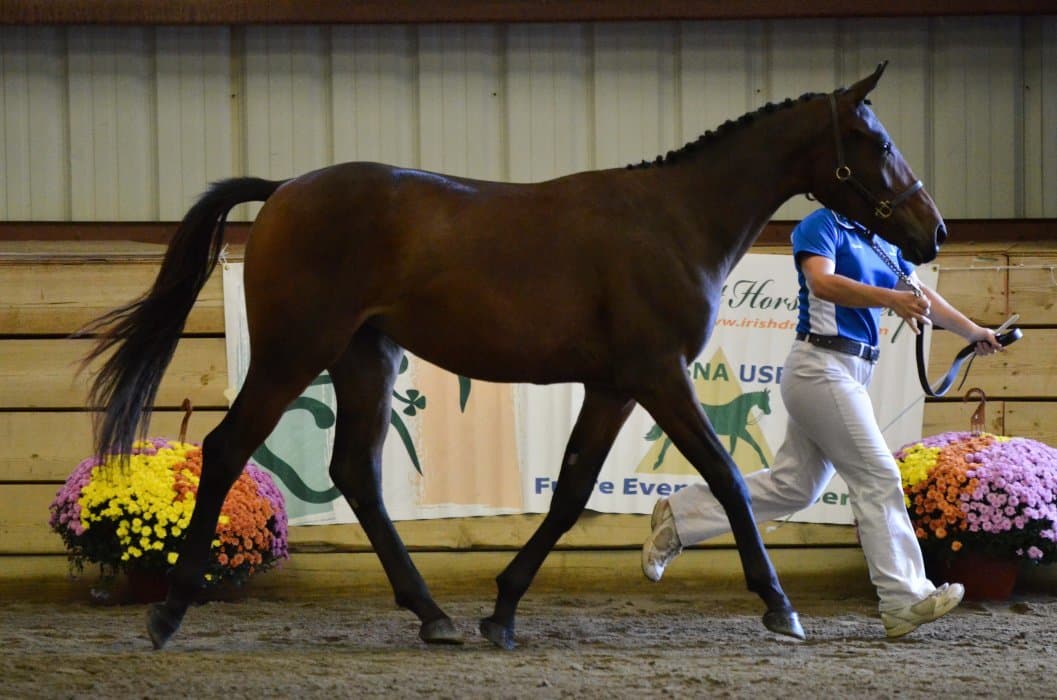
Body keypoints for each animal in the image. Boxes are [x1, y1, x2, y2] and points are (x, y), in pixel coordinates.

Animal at [80, 61, 946, 650]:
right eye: (874, 140)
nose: (930, 232)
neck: (675, 223)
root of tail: (286, 188)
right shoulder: (657, 376)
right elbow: (728, 479)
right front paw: (778, 606)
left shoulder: (611, 385)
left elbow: (569, 495)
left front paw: (500, 610)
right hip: (296, 352)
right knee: (229, 448)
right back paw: (168, 612)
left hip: (365, 359)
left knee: (355, 472)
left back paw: (433, 616)